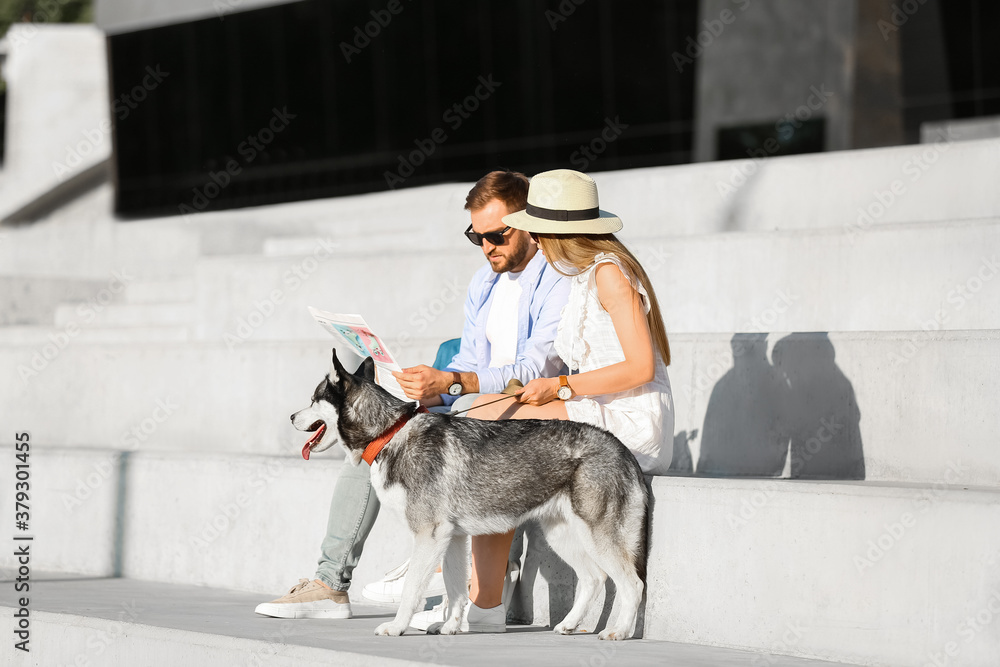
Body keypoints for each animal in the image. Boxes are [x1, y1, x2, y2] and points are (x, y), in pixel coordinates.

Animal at [292, 350, 648, 640]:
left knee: (632, 584)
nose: (292, 417)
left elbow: (412, 590)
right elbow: (456, 590)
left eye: (312, 398)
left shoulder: (430, 536)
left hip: (596, 537)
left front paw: (397, 626)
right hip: (561, 535)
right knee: (594, 578)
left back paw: (619, 631)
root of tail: (621, 448)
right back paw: (571, 624)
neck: (390, 432)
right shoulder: (452, 538)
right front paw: (450, 626)